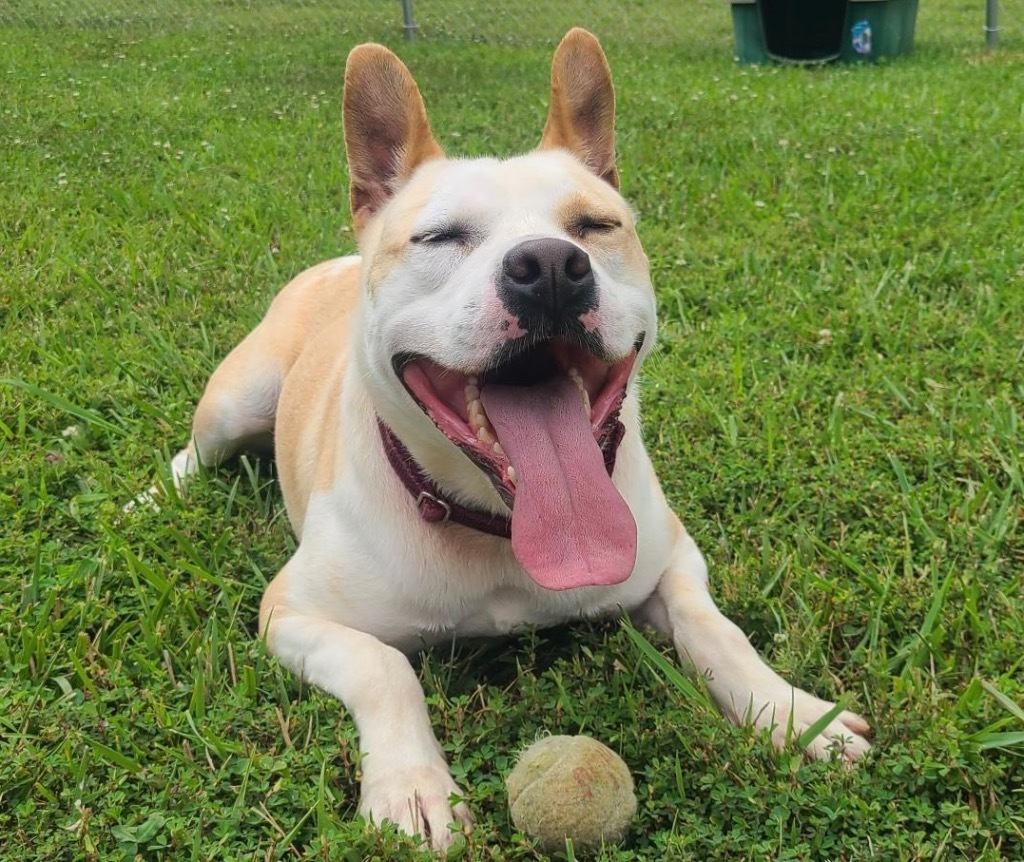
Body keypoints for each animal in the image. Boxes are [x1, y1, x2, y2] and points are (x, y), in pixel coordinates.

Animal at [169, 30, 872, 851]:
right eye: (440, 236)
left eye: (596, 226)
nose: (550, 266)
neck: (502, 524)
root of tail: (341, 259)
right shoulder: (292, 613)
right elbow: (383, 667)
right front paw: (412, 788)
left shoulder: (671, 557)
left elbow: (715, 628)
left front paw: (794, 714)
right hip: (235, 401)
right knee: (192, 452)